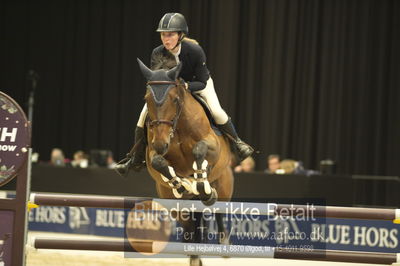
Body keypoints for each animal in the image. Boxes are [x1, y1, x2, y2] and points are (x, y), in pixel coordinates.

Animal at [137, 57, 233, 264]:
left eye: (174, 99)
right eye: (146, 100)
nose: (161, 143)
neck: (178, 128)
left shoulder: (212, 144)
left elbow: (200, 150)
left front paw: (201, 184)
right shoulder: (152, 153)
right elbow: (159, 163)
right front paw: (182, 185)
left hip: (224, 186)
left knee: (219, 209)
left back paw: (224, 242)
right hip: (175, 205)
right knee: (189, 227)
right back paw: (194, 256)